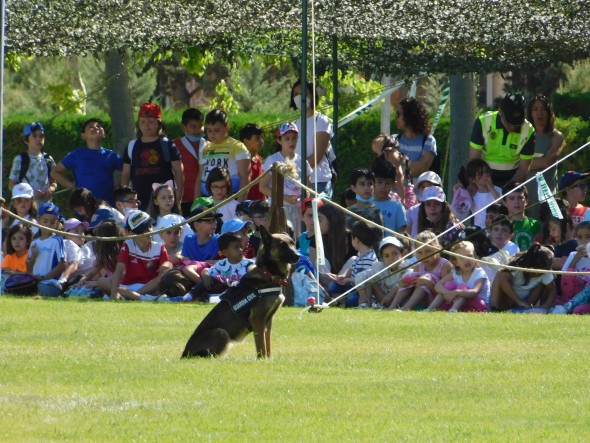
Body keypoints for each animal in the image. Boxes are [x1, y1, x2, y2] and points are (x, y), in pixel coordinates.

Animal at [180, 227, 300, 360]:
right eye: (282, 245)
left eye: (293, 244)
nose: (298, 256)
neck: (268, 274)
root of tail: (184, 354)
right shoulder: (257, 319)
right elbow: (261, 345)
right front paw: (262, 360)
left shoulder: (268, 321)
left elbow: (267, 344)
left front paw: (269, 359)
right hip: (221, 332)